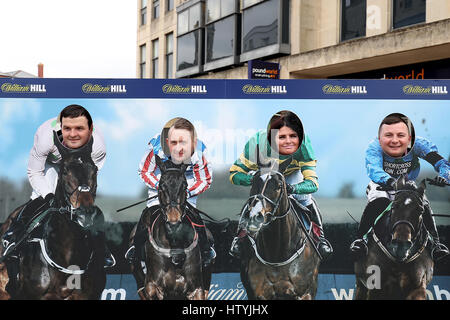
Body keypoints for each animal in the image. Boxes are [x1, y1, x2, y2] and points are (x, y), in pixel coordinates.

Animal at [239, 155, 320, 300]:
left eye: (279, 185)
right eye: (253, 182)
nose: (255, 216)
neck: (276, 252)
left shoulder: (306, 292)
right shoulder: (256, 293)